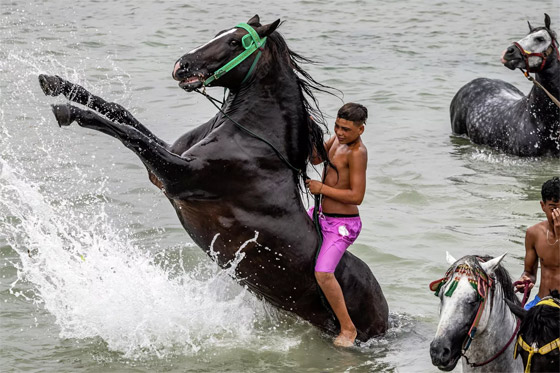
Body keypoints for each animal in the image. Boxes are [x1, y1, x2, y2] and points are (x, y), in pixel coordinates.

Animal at [37, 14, 390, 340]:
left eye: (235, 42)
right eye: (220, 33)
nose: (181, 65)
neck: (253, 137)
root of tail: (387, 318)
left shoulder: (179, 176)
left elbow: (127, 133)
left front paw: (68, 112)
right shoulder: (168, 162)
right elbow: (121, 113)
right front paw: (55, 83)